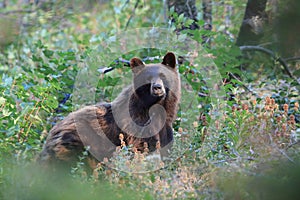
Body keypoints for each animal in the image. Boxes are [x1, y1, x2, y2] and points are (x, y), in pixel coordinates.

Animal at [39, 51, 180, 169]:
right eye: (148, 78)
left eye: (163, 76)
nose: (157, 87)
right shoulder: (136, 128)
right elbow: (141, 149)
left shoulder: (165, 130)